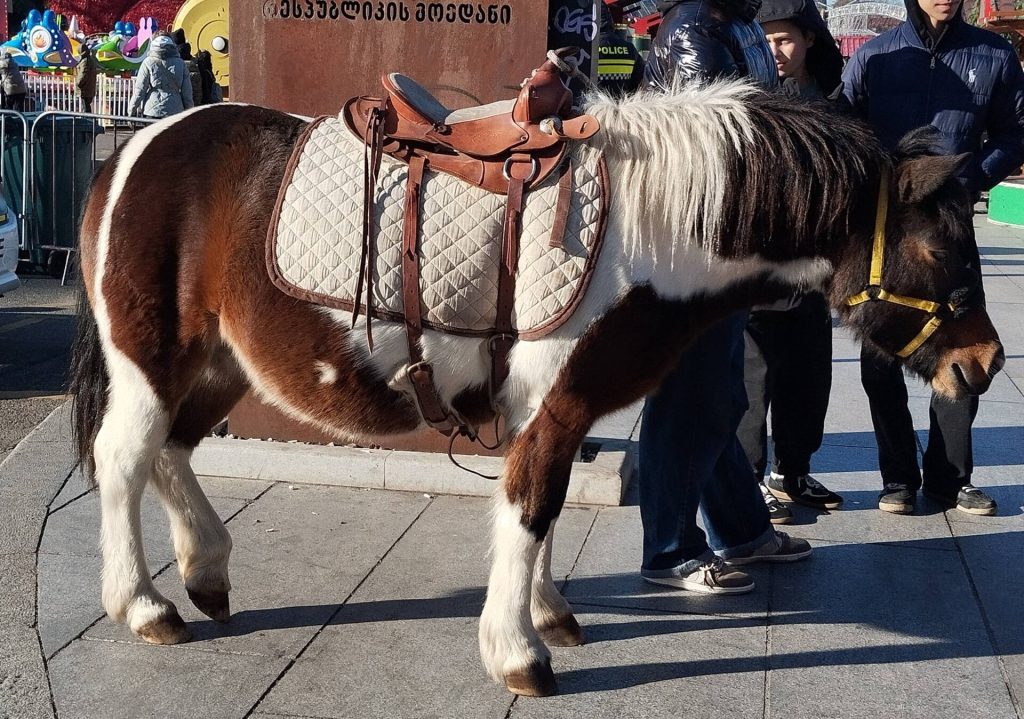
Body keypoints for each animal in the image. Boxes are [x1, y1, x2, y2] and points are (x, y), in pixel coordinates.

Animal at [69, 81, 1004, 698]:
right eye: (941, 248)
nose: (986, 363)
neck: (649, 232)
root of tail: (131, 151)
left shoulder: (558, 410)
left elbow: (544, 512)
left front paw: (547, 611)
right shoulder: (555, 401)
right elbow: (529, 508)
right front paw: (517, 652)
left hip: (220, 361)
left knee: (170, 448)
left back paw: (207, 569)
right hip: (153, 355)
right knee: (124, 456)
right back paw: (144, 603)